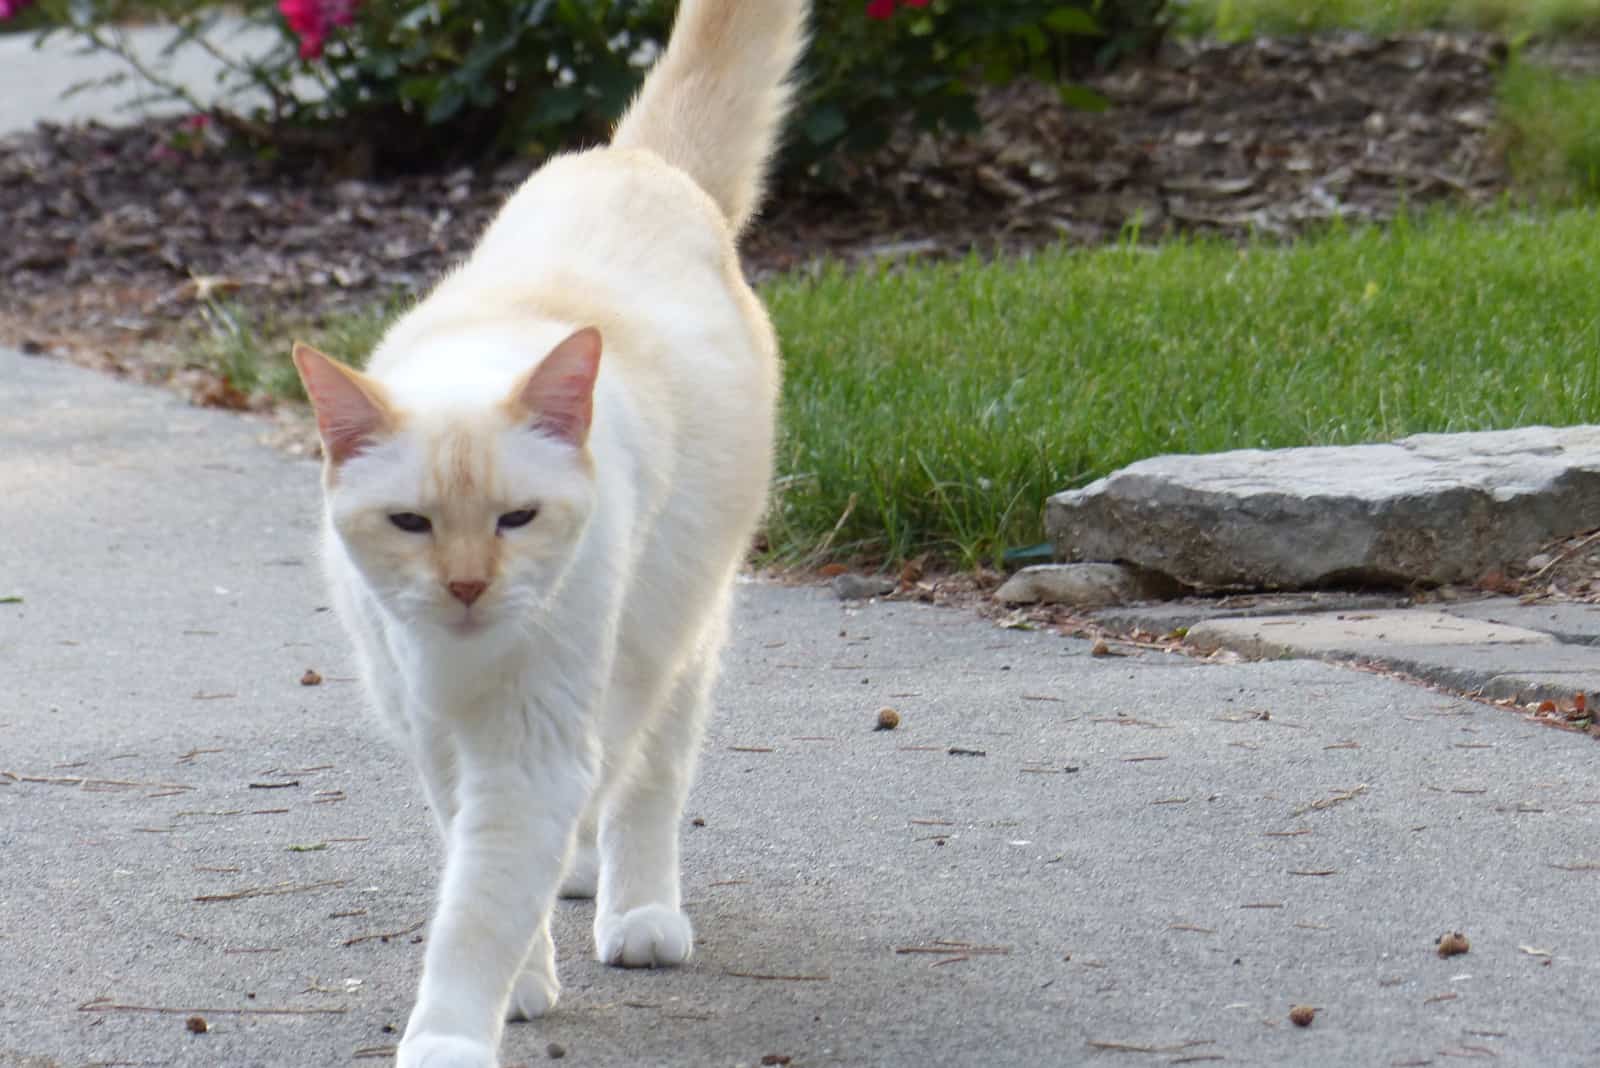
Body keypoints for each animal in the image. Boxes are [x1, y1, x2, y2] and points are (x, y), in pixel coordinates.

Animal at [284, 4, 812, 1061]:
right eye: (411, 523)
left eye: (516, 520)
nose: (467, 586)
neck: (464, 663)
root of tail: (636, 159)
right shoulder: (435, 738)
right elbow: (481, 873)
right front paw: (525, 984)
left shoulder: (527, 752)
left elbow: (478, 910)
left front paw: (453, 1033)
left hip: (674, 631)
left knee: (644, 777)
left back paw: (637, 912)